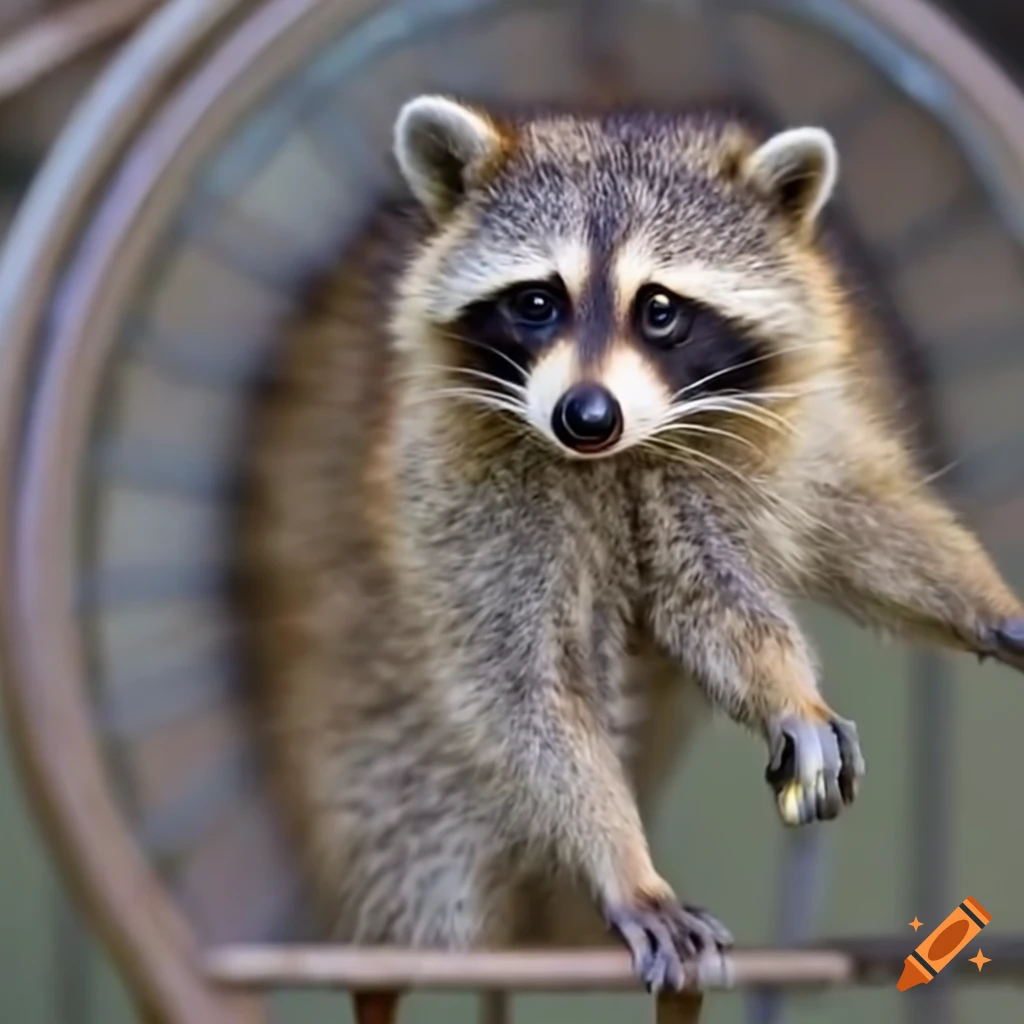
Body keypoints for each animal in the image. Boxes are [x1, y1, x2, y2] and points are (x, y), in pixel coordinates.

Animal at [239, 96, 1024, 995]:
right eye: (537, 301)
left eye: (660, 308)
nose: (586, 416)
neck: (616, 455)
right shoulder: (463, 490)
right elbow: (527, 688)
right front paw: (625, 866)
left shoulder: (755, 432)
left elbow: (818, 538)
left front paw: (950, 616)